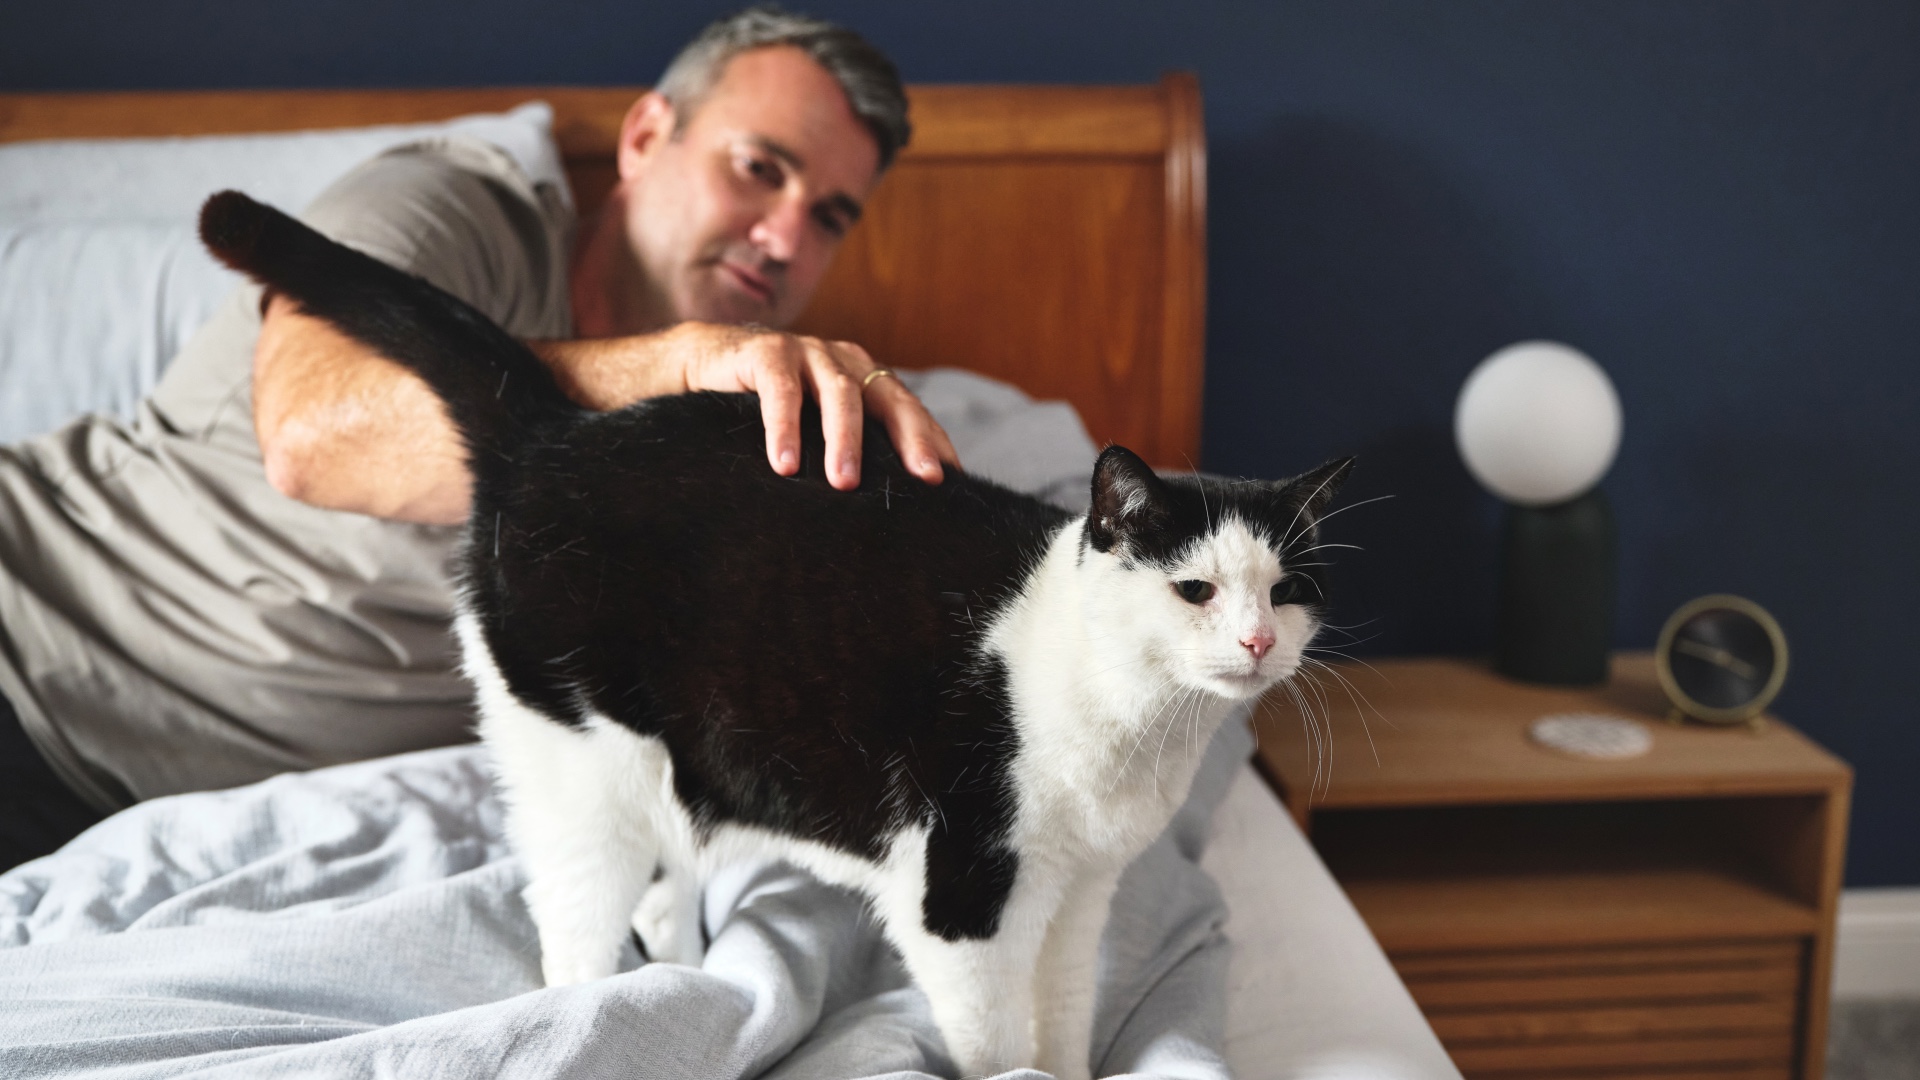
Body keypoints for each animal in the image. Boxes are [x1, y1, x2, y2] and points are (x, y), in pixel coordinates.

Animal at [198, 189, 1351, 1068]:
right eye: (1195, 591)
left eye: (1287, 590)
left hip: (668, 765)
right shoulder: (963, 897)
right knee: (570, 937)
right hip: (581, 766)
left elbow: (1062, 1022)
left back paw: (687, 986)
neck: (1134, 725)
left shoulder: (1083, 892)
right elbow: (993, 1044)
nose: (1258, 643)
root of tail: (552, 429)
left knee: (663, 898)